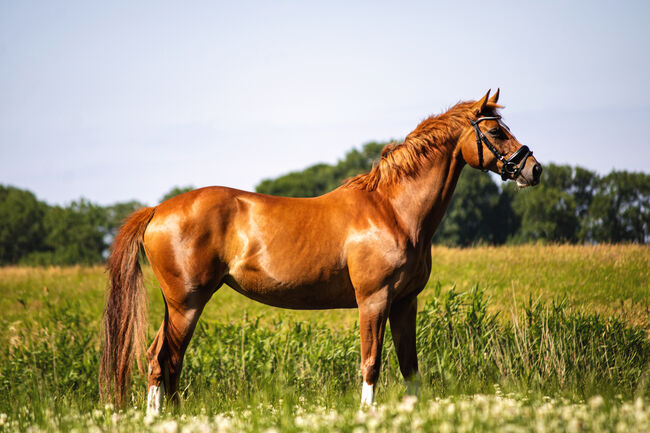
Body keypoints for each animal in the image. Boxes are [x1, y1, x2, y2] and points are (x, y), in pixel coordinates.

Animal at [98, 88, 540, 412]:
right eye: (496, 132)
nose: (533, 169)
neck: (392, 209)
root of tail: (158, 210)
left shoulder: (405, 302)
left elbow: (409, 367)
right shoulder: (374, 300)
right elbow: (371, 363)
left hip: (179, 305)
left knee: (163, 360)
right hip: (186, 303)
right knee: (163, 361)